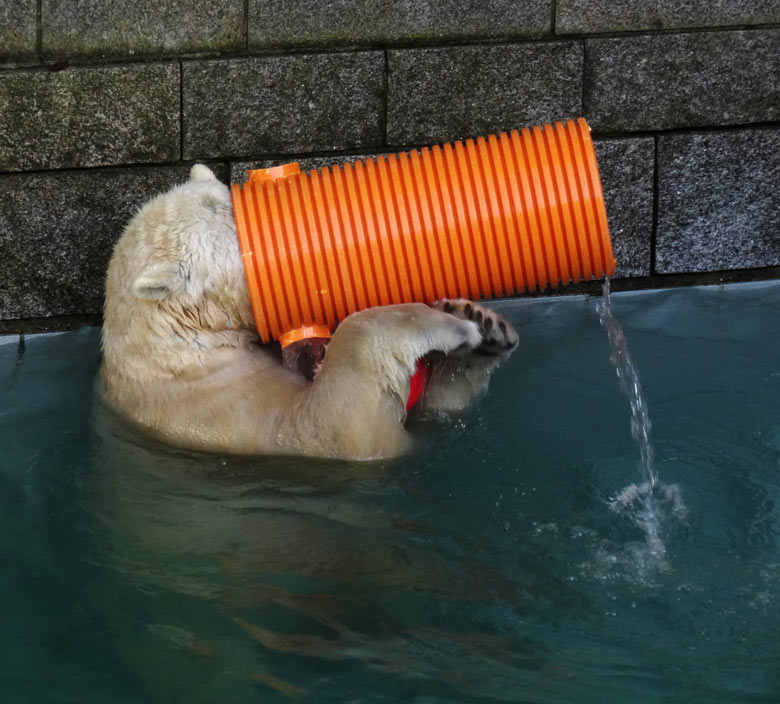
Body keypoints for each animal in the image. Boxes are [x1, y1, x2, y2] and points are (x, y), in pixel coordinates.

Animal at [102, 166, 516, 462]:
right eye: (221, 211)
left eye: (224, 197)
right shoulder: (234, 414)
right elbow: (337, 420)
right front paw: (454, 326)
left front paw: (482, 324)